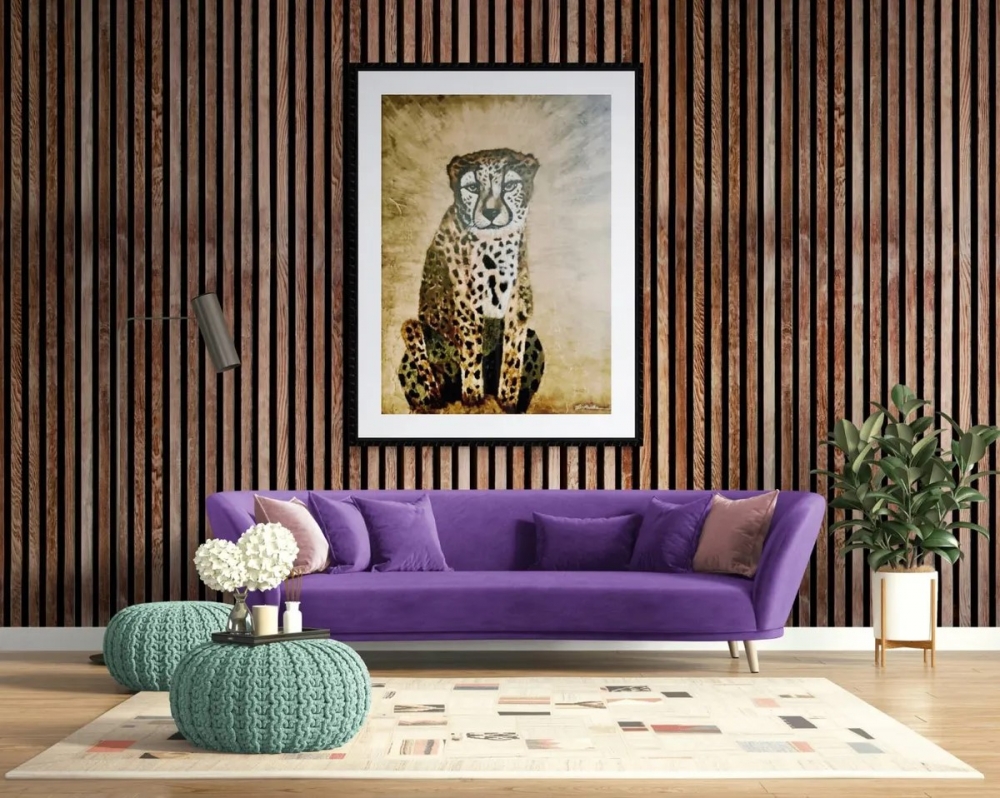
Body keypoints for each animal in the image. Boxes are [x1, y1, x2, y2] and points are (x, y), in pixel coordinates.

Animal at [398, 147, 545, 414]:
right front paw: (473, 397)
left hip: (532, 337)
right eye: (473, 188)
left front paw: (507, 400)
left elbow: (512, 355)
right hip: (416, 340)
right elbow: (470, 349)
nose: (490, 213)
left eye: (509, 186)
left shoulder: (519, 305)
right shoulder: (466, 305)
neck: (496, 243)